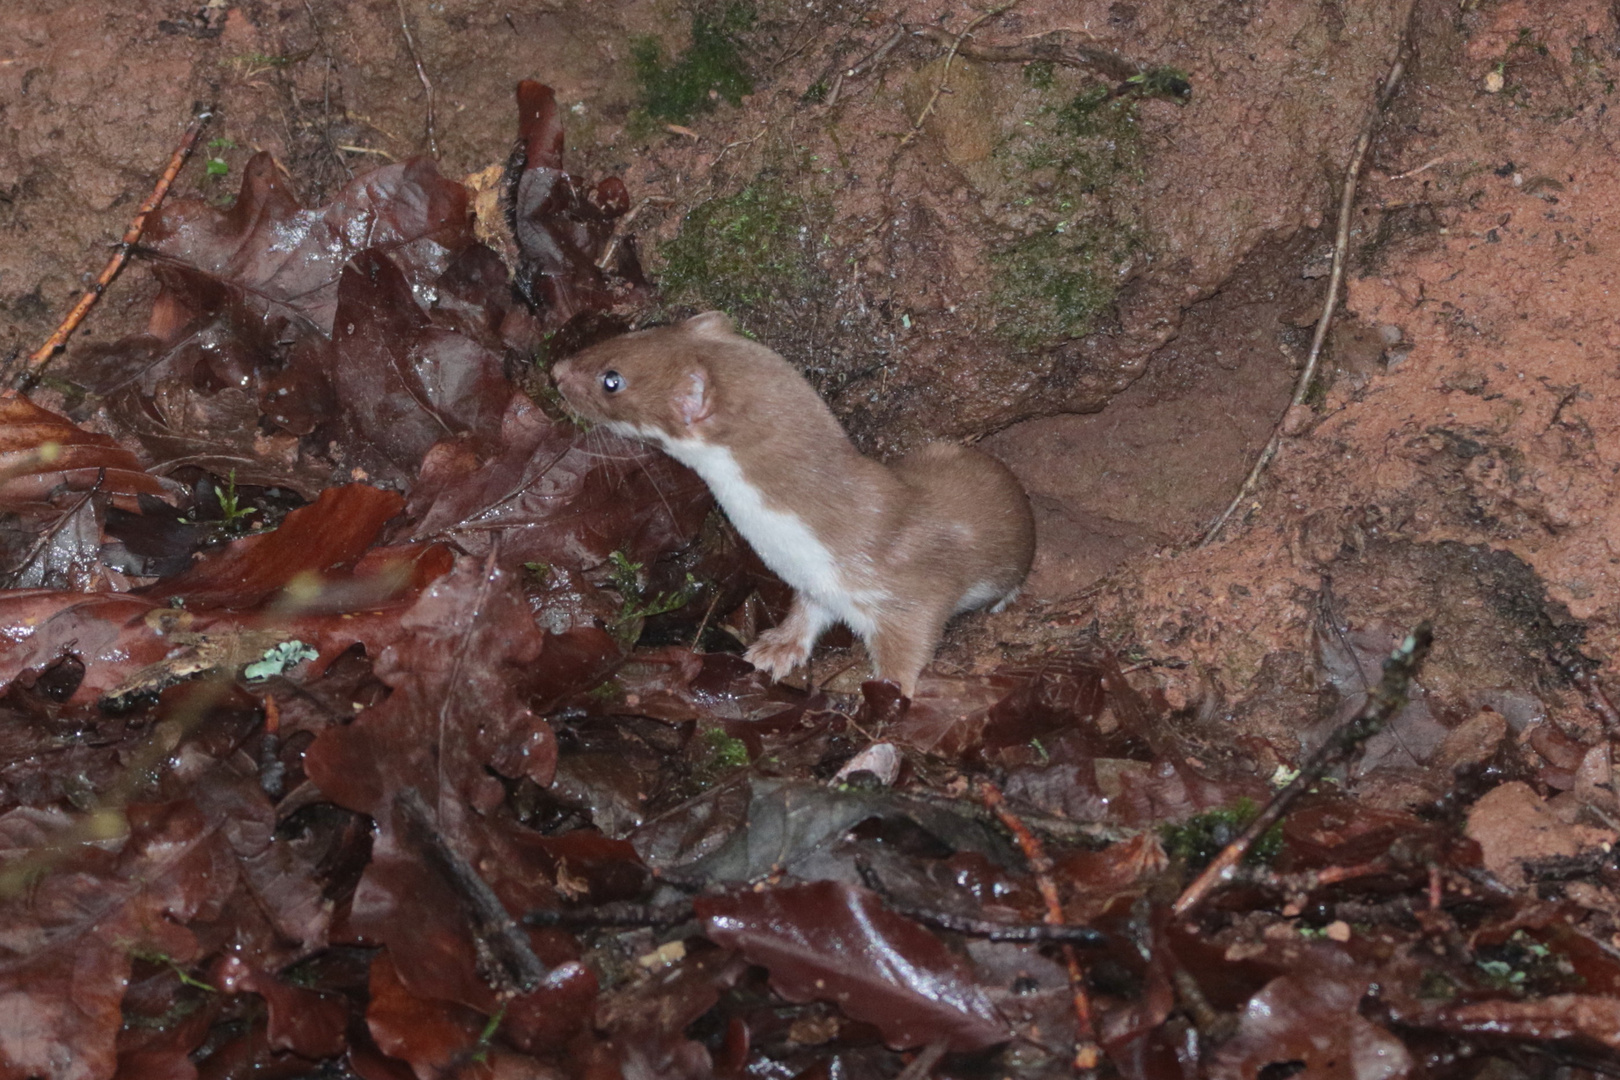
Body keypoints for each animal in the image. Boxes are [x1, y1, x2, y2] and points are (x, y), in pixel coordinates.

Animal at [554, 312, 1036, 702]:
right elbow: (807, 613)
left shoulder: (906, 593)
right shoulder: (815, 581)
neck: (798, 539)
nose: (557, 369)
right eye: (637, 332)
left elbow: (910, 645)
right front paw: (777, 647)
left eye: (612, 379)